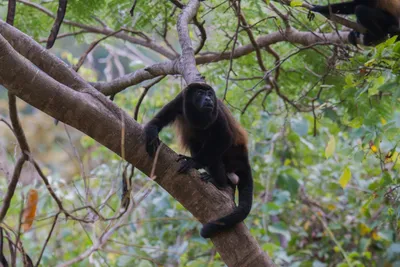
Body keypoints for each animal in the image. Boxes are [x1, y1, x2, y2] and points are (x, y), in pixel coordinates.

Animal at [144, 84, 253, 239]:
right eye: (200, 93)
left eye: (210, 94)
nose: (208, 98)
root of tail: (244, 157)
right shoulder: (179, 100)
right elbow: (158, 119)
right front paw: (151, 135)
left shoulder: (217, 112)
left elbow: (225, 137)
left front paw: (193, 163)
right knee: (195, 142)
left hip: (234, 155)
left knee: (215, 150)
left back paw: (219, 182)